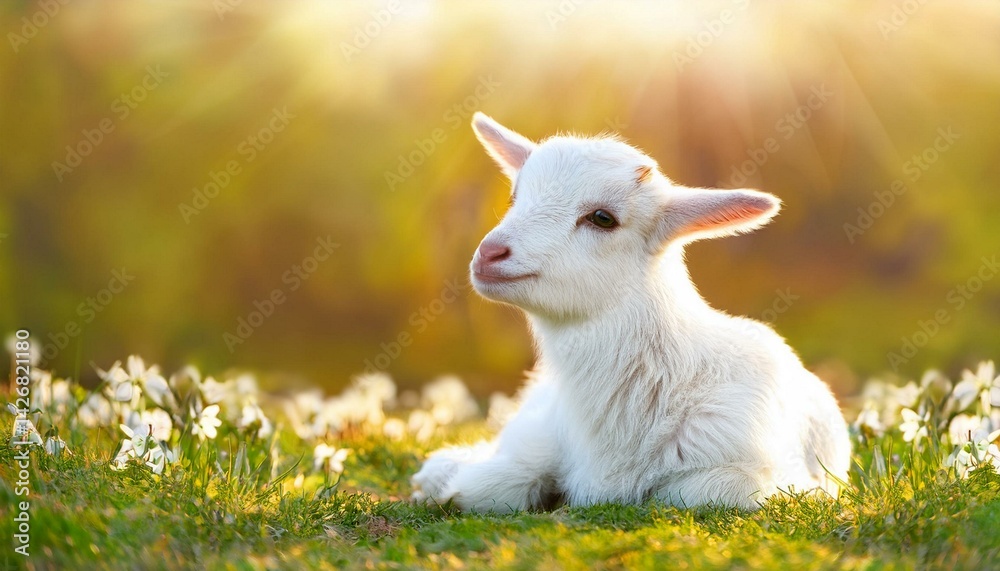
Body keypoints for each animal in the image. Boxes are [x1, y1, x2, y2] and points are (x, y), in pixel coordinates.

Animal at [411, 113, 852, 512]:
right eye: (515, 197)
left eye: (603, 218)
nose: (490, 253)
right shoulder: (542, 433)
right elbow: (488, 486)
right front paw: (448, 477)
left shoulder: (754, 476)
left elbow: (693, 492)